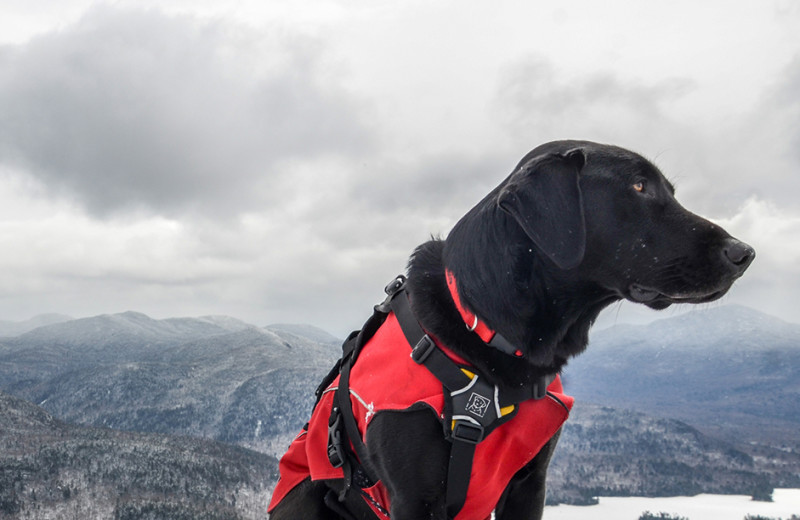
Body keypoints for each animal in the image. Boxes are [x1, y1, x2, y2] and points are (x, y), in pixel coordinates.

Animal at [268, 140, 756, 520]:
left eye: (668, 190)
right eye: (638, 186)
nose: (745, 253)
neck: (488, 333)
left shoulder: (529, 482)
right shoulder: (413, 498)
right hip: (306, 497)